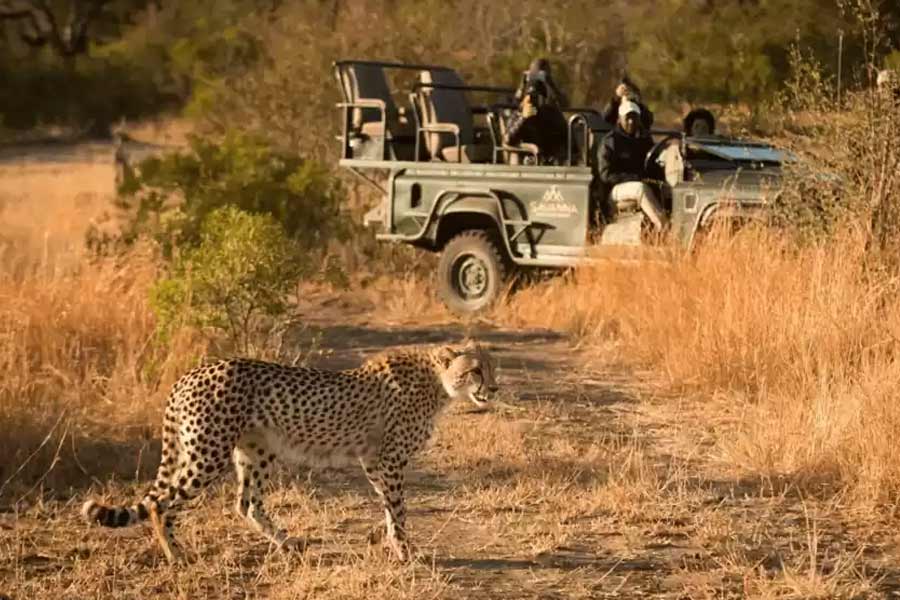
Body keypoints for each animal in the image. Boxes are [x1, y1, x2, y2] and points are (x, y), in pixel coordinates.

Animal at [81, 341, 497, 564]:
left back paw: (287, 543)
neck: (438, 381)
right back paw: (175, 555)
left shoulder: (374, 461)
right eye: (476, 370)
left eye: (493, 368)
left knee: (247, 503)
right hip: (207, 452)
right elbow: (399, 508)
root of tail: (190, 373)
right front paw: (405, 551)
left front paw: (390, 541)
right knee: (159, 502)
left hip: (255, 450)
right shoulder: (387, 459)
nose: (494, 388)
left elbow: (389, 507)